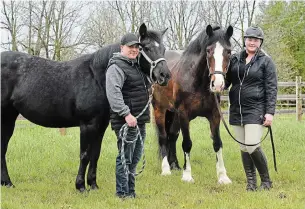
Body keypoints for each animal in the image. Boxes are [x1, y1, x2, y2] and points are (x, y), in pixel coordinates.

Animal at [1, 23, 170, 192]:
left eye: (163, 49)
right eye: (146, 47)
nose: (165, 75)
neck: (97, 76)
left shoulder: (100, 125)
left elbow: (95, 154)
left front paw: (93, 185)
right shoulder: (87, 125)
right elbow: (85, 155)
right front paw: (81, 186)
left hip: (9, 117)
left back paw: (7, 183)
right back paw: (8, 182)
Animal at [152, 25, 233, 184]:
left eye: (229, 51)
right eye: (208, 51)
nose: (218, 84)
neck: (197, 81)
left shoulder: (214, 115)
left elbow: (217, 143)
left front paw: (223, 176)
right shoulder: (184, 114)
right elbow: (187, 143)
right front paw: (187, 175)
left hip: (173, 114)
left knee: (172, 136)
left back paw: (175, 165)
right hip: (160, 110)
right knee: (163, 137)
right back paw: (166, 169)